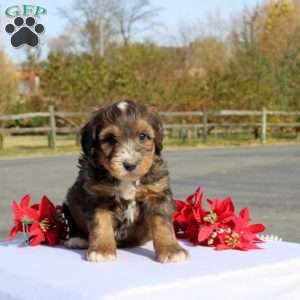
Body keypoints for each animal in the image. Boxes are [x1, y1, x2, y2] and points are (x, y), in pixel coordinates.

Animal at [63, 101, 188, 262]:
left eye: (143, 136)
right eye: (110, 139)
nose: (130, 165)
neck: (127, 181)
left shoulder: (156, 193)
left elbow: (163, 224)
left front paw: (171, 250)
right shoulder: (96, 196)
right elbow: (101, 223)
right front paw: (102, 250)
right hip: (70, 200)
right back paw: (78, 239)